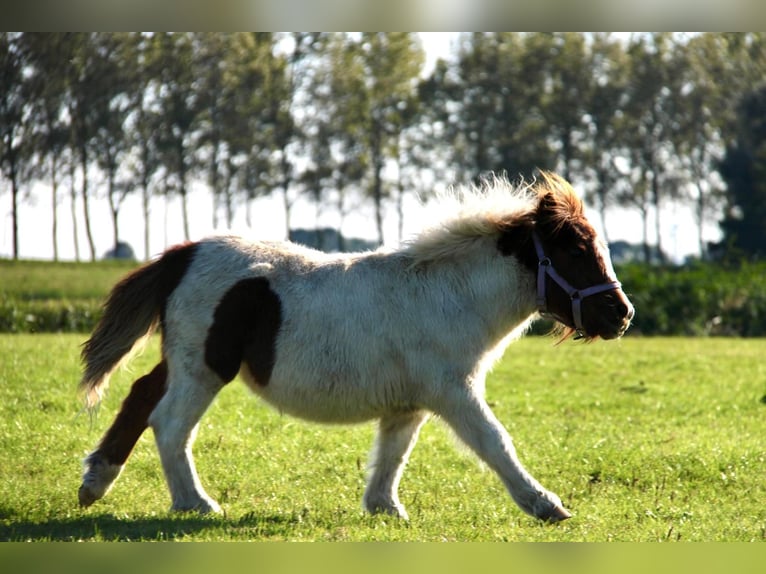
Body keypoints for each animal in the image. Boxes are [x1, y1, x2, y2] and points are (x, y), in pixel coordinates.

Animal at [76, 170, 636, 520]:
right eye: (575, 250)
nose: (622, 314)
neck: (448, 295)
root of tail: (182, 253)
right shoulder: (454, 392)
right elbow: (495, 443)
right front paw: (546, 505)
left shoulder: (410, 404)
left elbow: (392, 455)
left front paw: (385, 509)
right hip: (204, 369)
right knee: (169, 424)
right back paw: (195, 503)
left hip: (185, 363)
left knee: (140, 396)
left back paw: (94, 482)